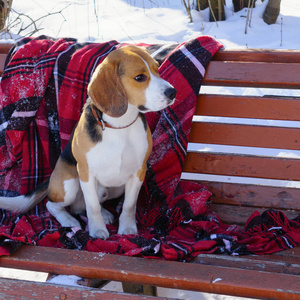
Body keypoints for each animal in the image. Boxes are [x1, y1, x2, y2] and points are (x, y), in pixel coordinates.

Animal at [0, 45, 176, 240]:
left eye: (157, 70)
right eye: (140, 77)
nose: (172, 92)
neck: (119, 125)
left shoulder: (139, 171)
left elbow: (129, 205)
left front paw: (128, 228)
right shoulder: (86, 172)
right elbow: (93, 207)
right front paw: (97, 230)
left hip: (115, 188)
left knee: (82, 207)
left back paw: (105, 214)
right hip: (69, 184)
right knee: (53, 205)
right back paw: (69, 220)